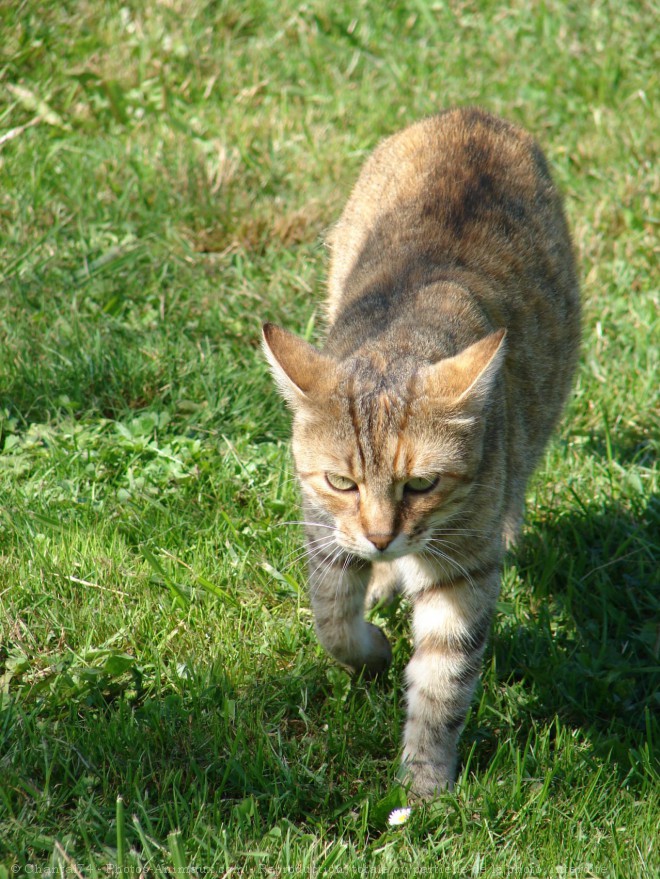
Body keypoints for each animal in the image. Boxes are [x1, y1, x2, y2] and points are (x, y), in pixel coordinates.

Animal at [260, 106, 580, 800]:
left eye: (421, 485)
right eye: (342, 482)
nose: (382, 537)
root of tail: (471, 113)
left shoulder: (465, 567)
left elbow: (443, 678)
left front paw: (425, 786)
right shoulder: (324, 529)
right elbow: (331, 618)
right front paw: (370, 650)